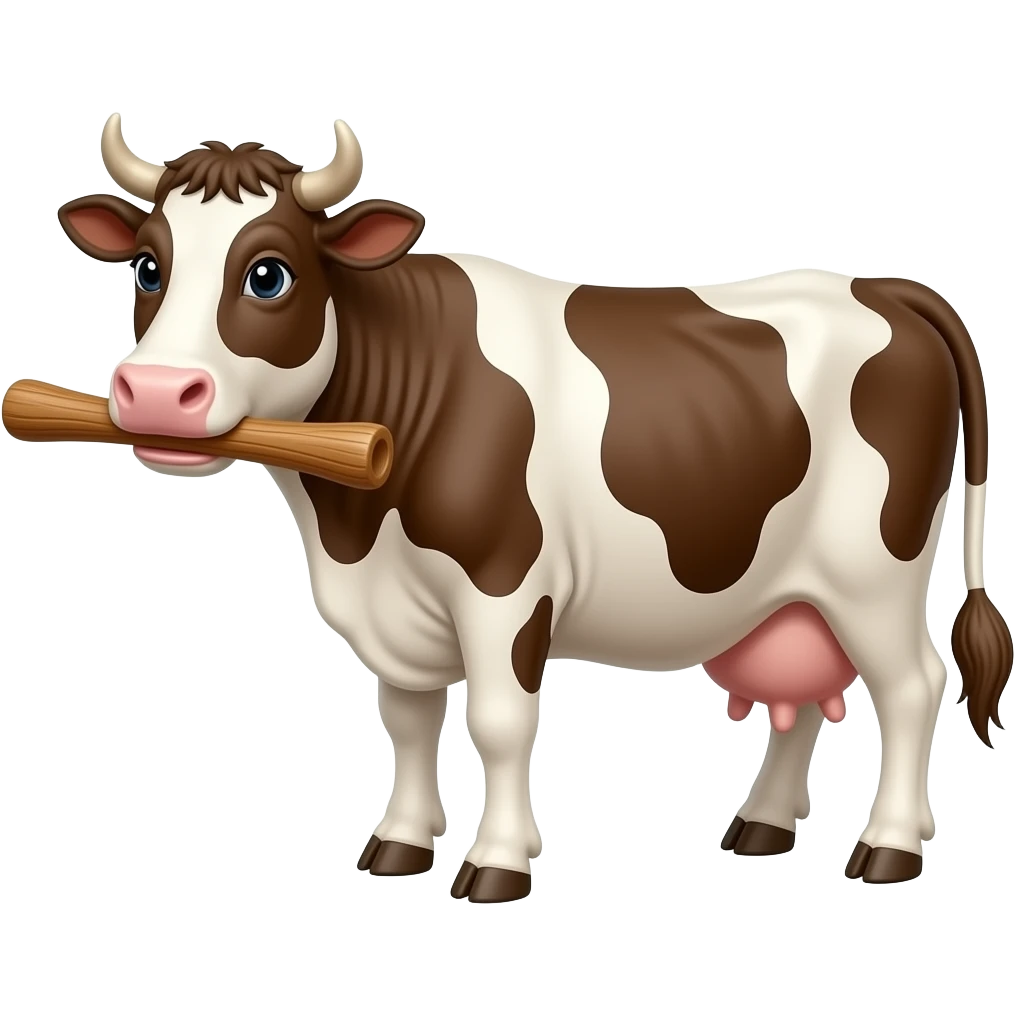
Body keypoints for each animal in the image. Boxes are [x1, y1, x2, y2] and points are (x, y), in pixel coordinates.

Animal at [50, 113, 1011, 902]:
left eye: (268, 275)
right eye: (148, 266)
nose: (155, 392)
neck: (351, 527)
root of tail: (882, 285)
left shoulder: (503, 582)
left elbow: (500, 723)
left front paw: (496, 863)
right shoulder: (396, 604)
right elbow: (408, 722)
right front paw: (400, 844)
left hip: (872, 571)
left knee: (912, 685)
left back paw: (888, 849)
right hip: (793, 585)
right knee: (808, 691)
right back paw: (762, 826)